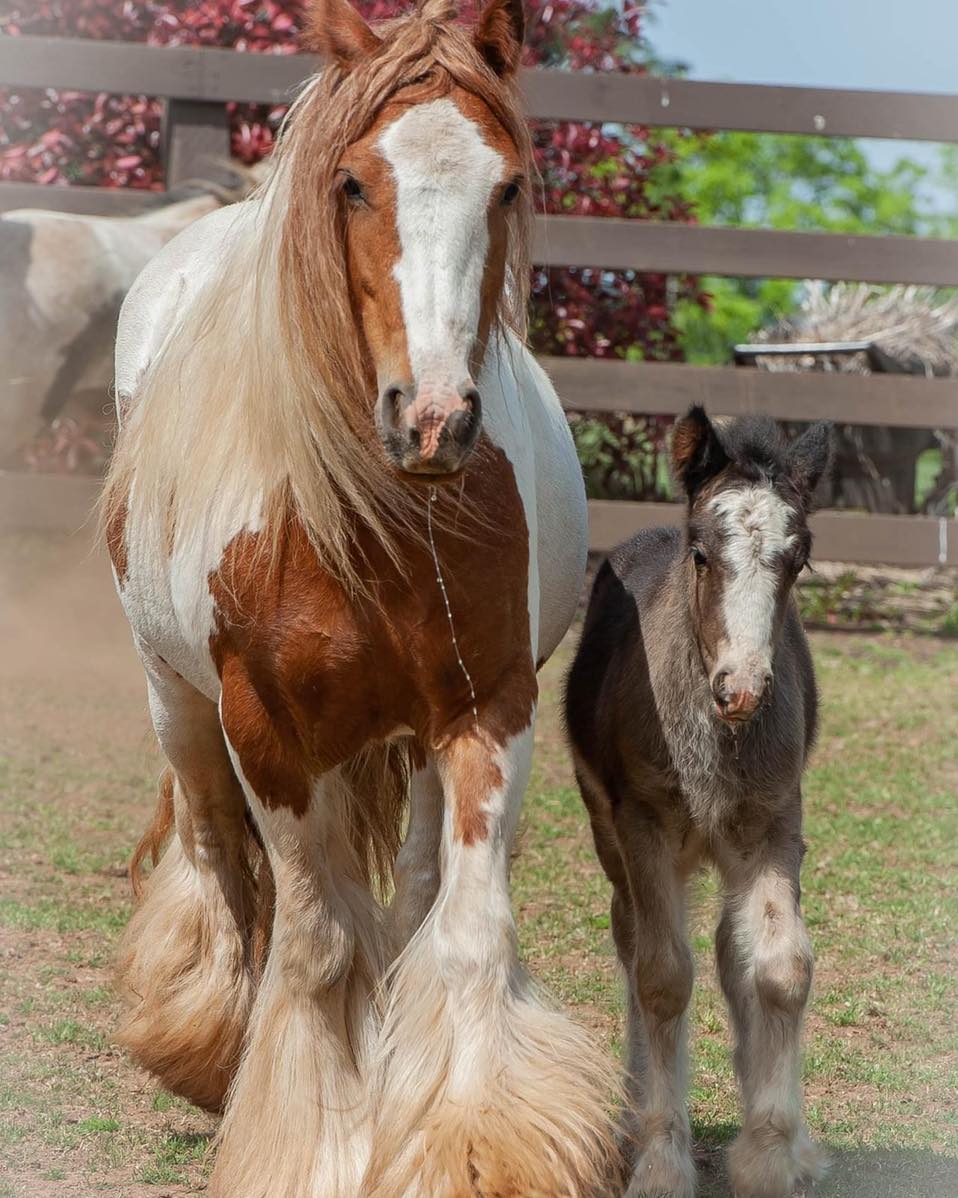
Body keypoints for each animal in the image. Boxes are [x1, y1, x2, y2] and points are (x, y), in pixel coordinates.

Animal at [102, 2, 613, 1198]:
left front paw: (473, 1141)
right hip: (176, 701)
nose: (432, 419)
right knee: (219, 857)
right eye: (351, 184)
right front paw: (313, 1144)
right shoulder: (268, 733)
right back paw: (209, 1045)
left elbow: (463, 931)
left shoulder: (487, 711)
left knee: (415, 889)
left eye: (506, 186)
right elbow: (315, 937)